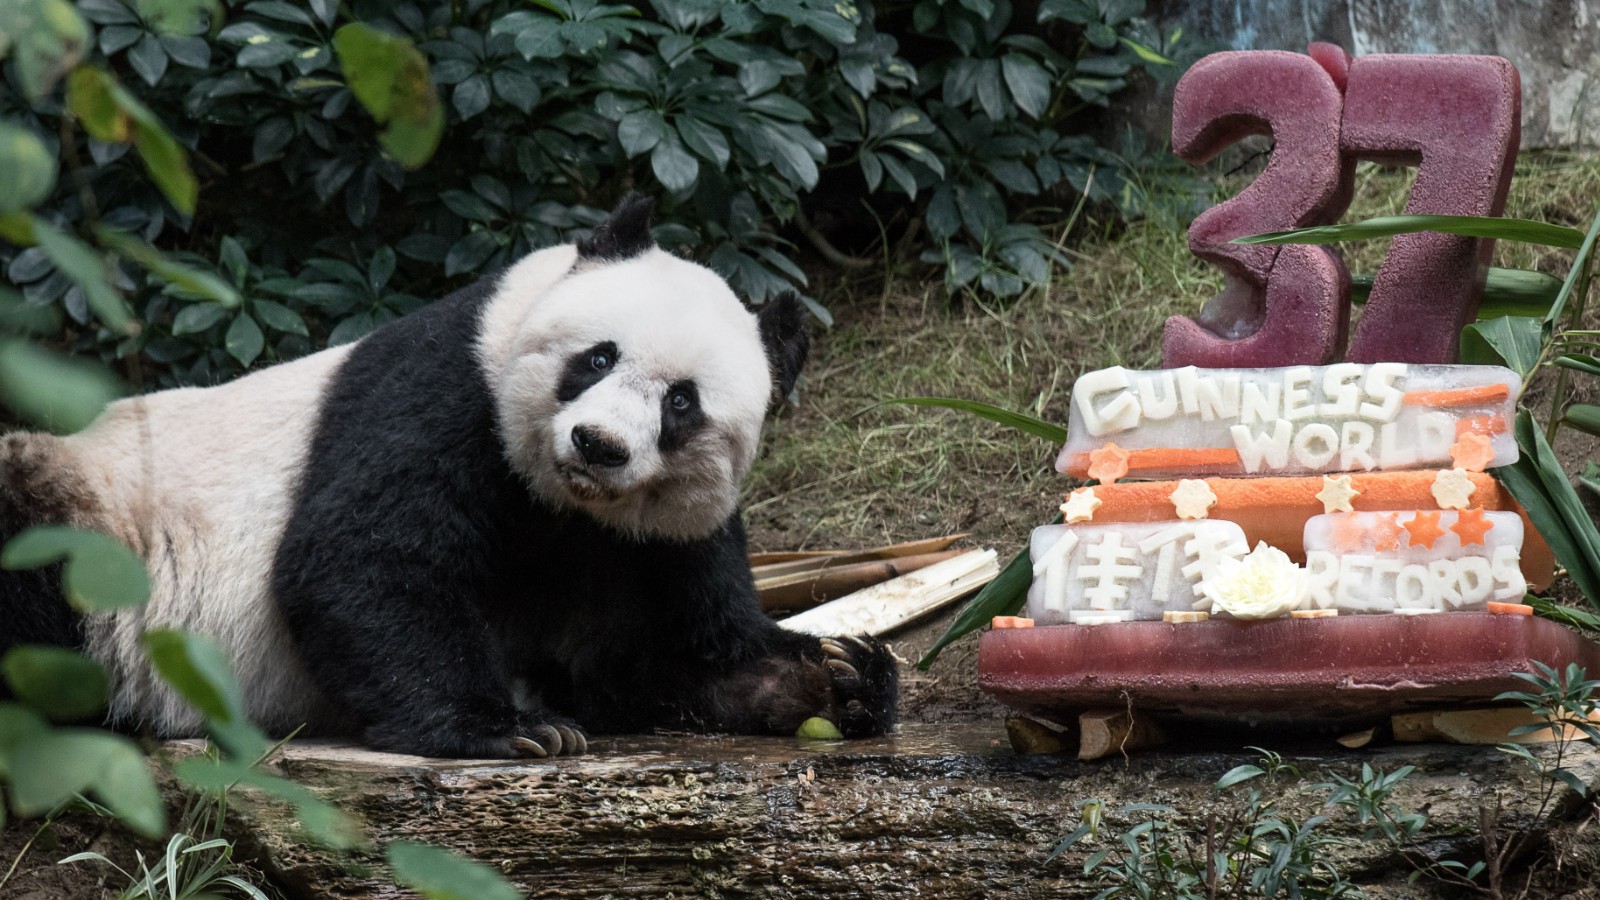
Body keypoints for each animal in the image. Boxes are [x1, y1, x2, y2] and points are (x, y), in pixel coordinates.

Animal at [0, 197, 902, 755]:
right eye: (596, 358)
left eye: (682, 403)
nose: (600, 444)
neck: (566, 504)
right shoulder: (446, 394)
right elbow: (365, 558)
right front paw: (510, 729)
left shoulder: (657, 535)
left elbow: (666, 654)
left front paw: (838, 677)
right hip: (96, 520)